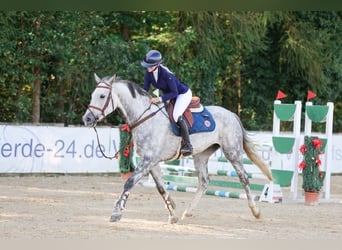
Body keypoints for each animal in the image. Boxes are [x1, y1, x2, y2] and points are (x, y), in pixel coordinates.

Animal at [82, 73, 272, 224]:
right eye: (92, 95)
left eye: (102, 96)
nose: (87, 119)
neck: (144, 117)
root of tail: (231, 114)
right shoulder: (152, 162)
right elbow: (160, 187)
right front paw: (172, 213)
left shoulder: (149, 160)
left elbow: (129, 182)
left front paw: (116, 212)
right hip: (201, 155)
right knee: (204, 182)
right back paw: (188, 212)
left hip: (232, 151)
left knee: (244, 178)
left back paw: (256, 211)